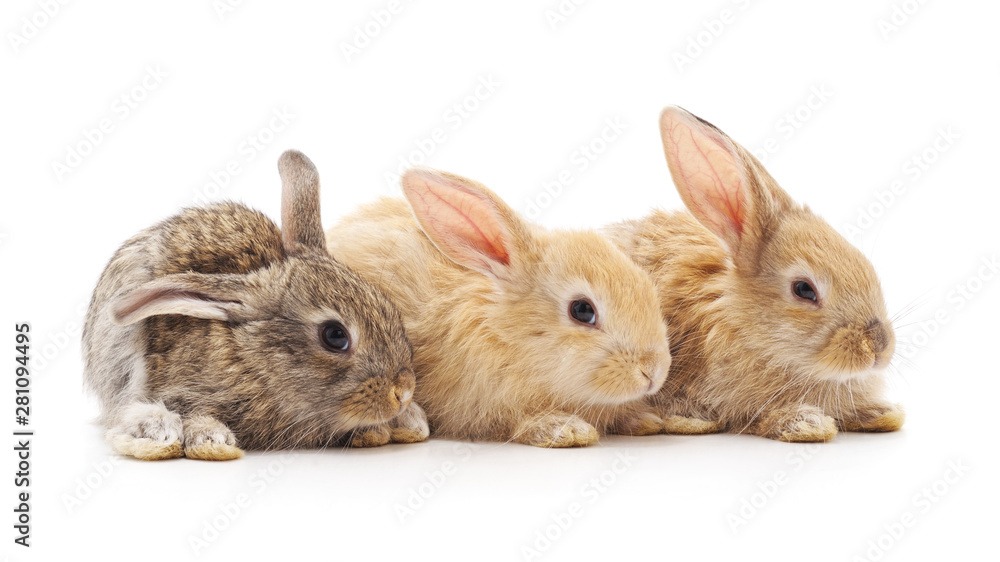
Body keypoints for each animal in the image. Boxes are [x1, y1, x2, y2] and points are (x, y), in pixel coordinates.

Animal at [324, 167, 672, 448]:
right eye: (582, 311)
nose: (654, 371)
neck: (507, 336)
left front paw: (645, 420)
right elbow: (517, 421)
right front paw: (565, 430)